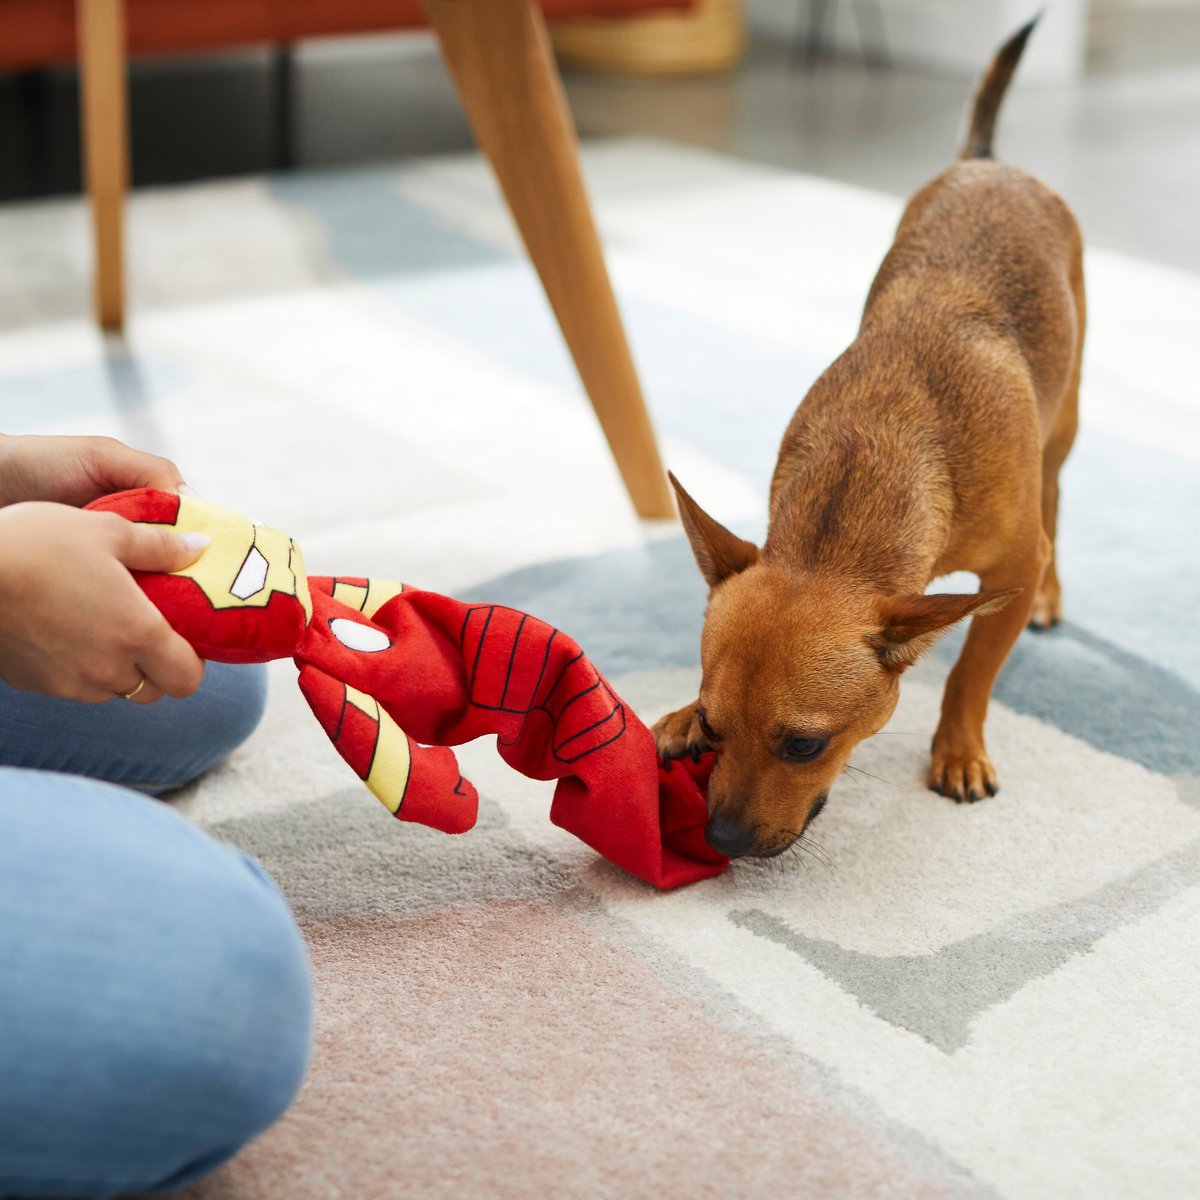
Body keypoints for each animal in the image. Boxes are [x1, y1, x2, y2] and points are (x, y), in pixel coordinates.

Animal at [657, 21, 1089, 864]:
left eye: (804, 746)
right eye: (716, 726)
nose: (722, 838)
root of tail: (986, 161)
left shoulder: (1012, 571)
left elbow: (972, 671)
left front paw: (958, 749)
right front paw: (676, 718)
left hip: (1065, 419)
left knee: (1056, 495)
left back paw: (1054, 595)